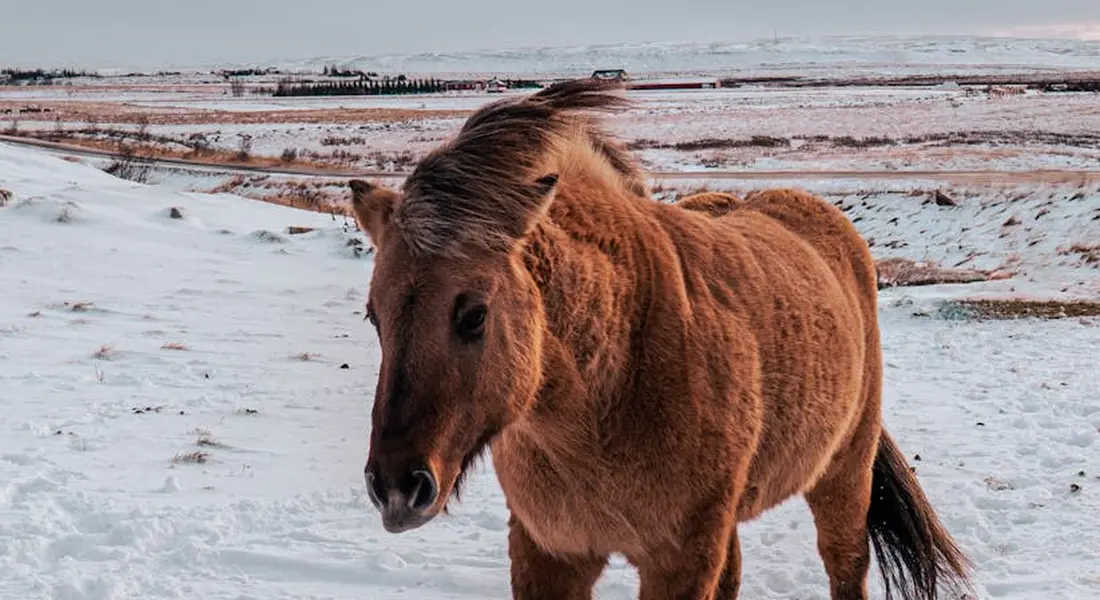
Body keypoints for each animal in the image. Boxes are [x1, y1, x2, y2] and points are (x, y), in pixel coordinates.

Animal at [348, 79, 972, 600]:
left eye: (474, 314)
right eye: (375, 317)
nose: (397, 489)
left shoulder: (679, 560)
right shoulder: (549, 553)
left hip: (843, 474)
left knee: (845, 566)